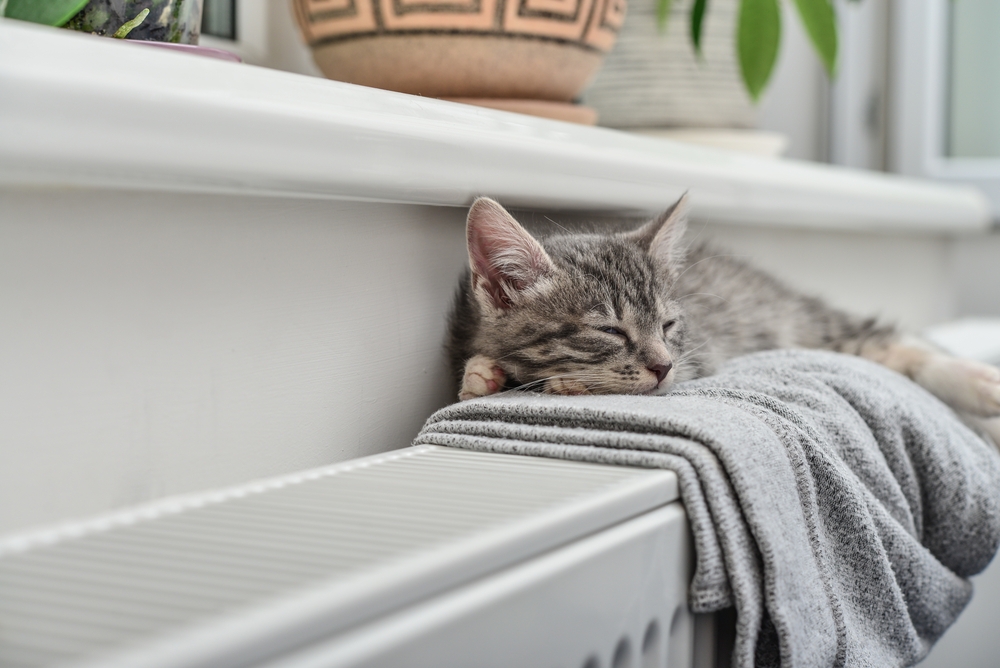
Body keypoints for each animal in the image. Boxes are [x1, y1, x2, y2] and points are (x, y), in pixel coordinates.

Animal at [450, 196, 1000, 428]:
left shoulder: (700, 353)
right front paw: (483, 374)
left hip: (804, 322)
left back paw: (978, 382)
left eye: (668, 326)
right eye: (609, 329)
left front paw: (566, 383)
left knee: (890, 340)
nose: (662, 365)